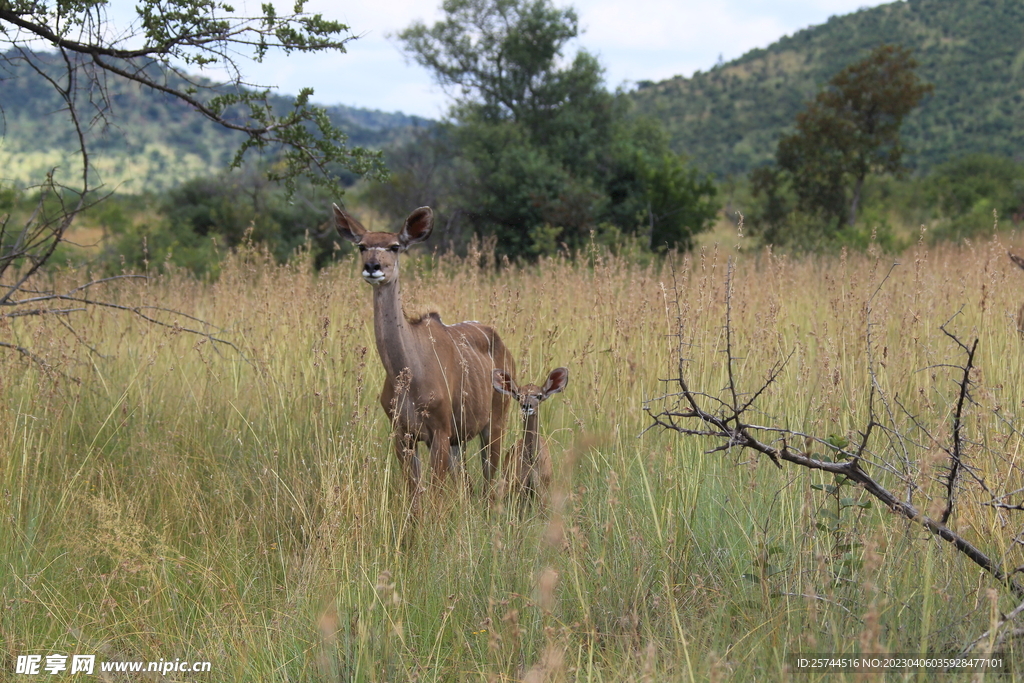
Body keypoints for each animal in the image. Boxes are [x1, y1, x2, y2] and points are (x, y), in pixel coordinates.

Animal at [331, 204, 516, 501]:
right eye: (362, 246)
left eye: (395, 246)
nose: (372, 267)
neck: (410, 373)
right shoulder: (403, 434)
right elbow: (415, 495)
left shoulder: (439, 432)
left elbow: (435, 497)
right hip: (459, 440)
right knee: (466, 483)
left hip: (495, 422)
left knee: (489, 481)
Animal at [489, 366, 569, 499]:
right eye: (519, 395)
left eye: (539, 396)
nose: (527, 406)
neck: (532, 465)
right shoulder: (520, 485)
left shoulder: (543, 489)